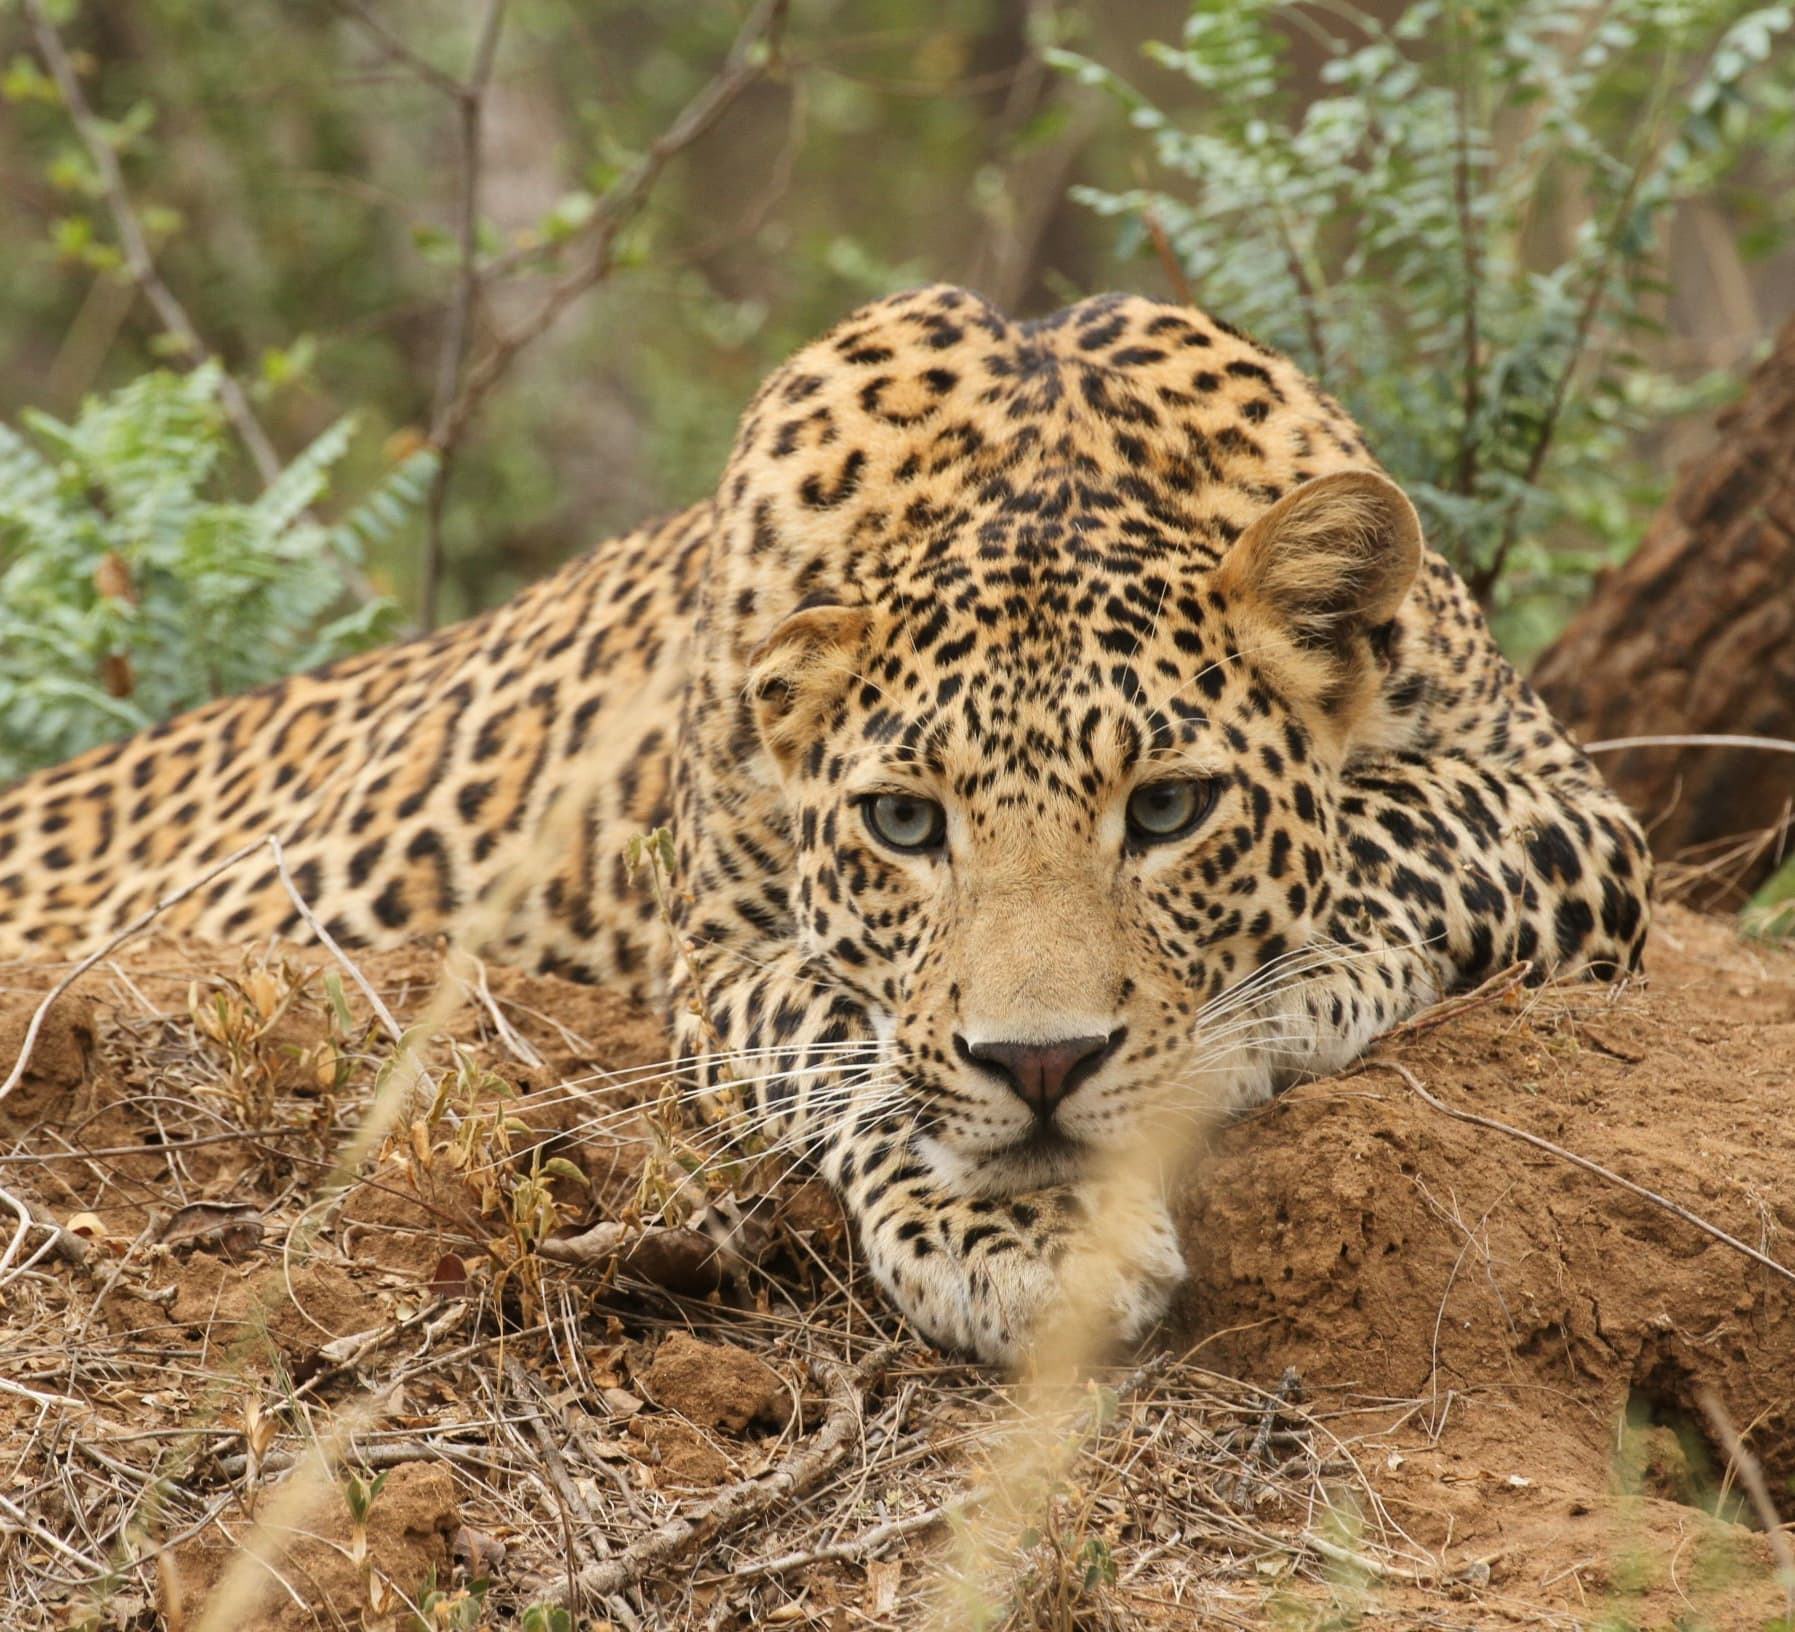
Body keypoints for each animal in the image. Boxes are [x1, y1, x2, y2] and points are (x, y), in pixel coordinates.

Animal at [0, 285, 1651, 1363]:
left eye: (1169, 808)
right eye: (905, 824)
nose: (1041, 1065)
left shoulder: (1575, 810)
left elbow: (1401, 820)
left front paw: (1276, 998)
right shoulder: (722, 960)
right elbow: (847, 1039)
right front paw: (1027, 1242)